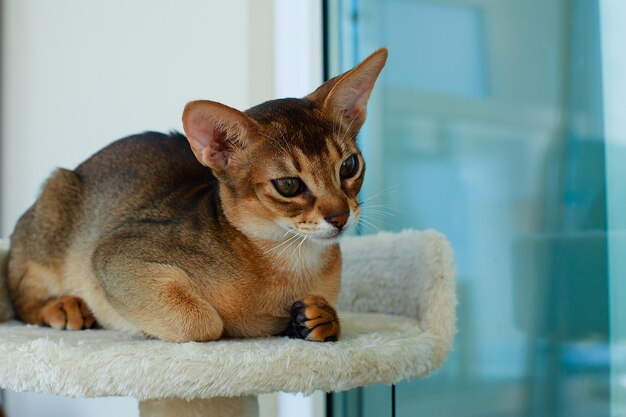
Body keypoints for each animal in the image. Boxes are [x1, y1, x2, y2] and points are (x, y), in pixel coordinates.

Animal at [6, 48, 386, 342]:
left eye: (349, 165)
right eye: (289, 185)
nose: (340, 216)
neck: (292, 260)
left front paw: (322, 317)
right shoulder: (113, 253)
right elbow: (203, 324)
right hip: (54, 206)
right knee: (19, 296)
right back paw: (62, 306)